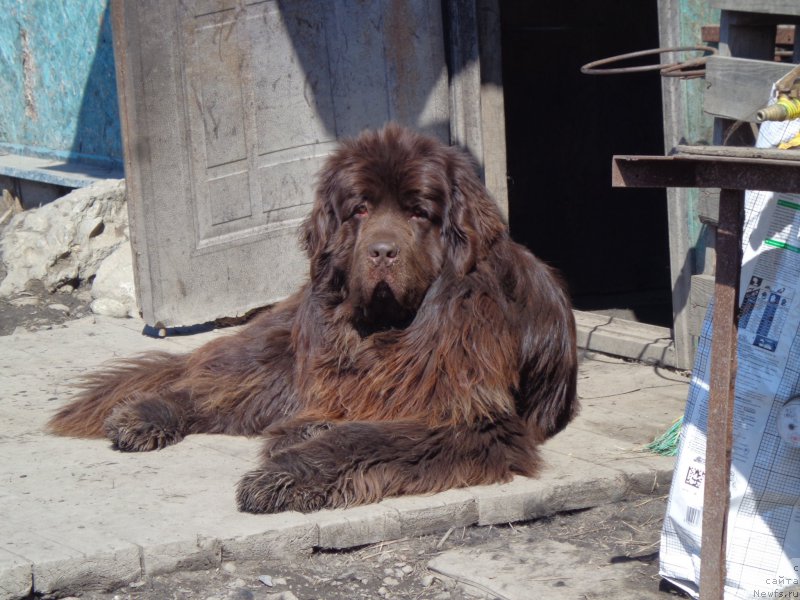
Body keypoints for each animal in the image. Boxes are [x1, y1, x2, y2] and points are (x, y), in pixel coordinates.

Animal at [48, 124, 576, 512]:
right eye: (360, 209)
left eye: (418, 212)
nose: (382, 251)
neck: (389, 329)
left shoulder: (463, 417)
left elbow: (362, 438)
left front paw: (282, 475)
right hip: (283, 354)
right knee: (211, 385)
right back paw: (142, 414)